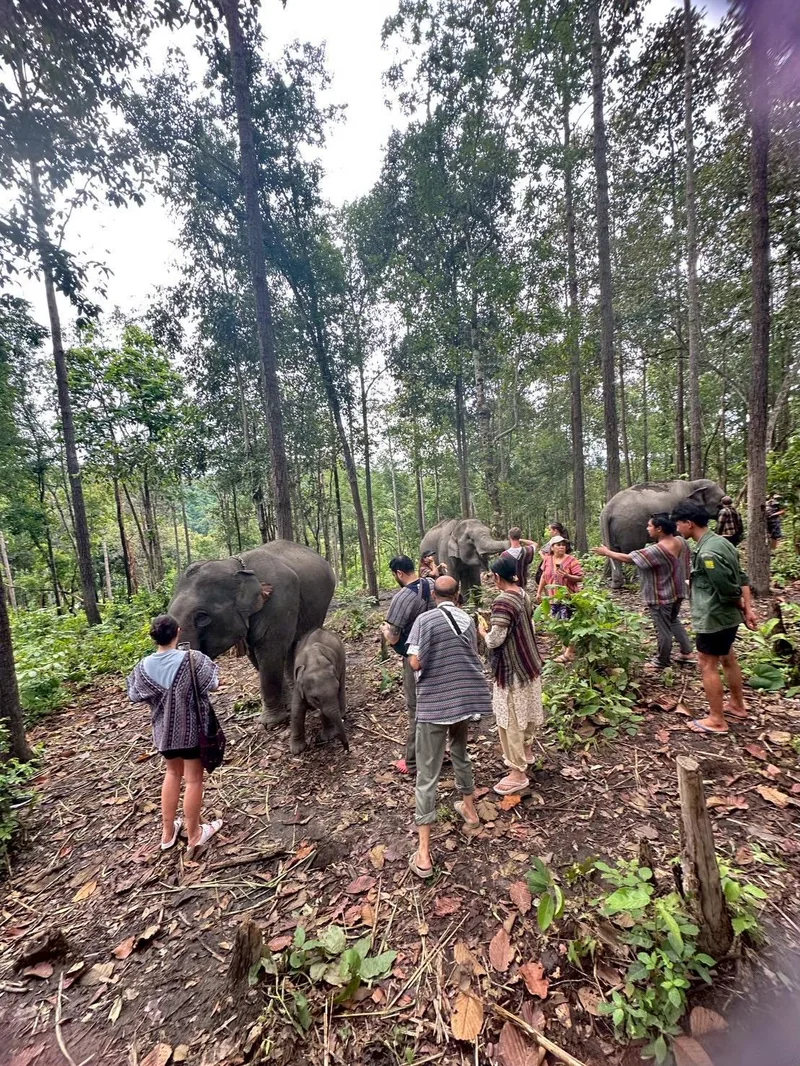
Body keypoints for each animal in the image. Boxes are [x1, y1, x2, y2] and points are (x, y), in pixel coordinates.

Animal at [169, 541, 335, 728]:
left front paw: (270, 723)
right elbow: (257, 657)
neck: (234, 565)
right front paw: (285, 707)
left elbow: (270, 652)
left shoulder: (279, 601)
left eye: (202, 617)